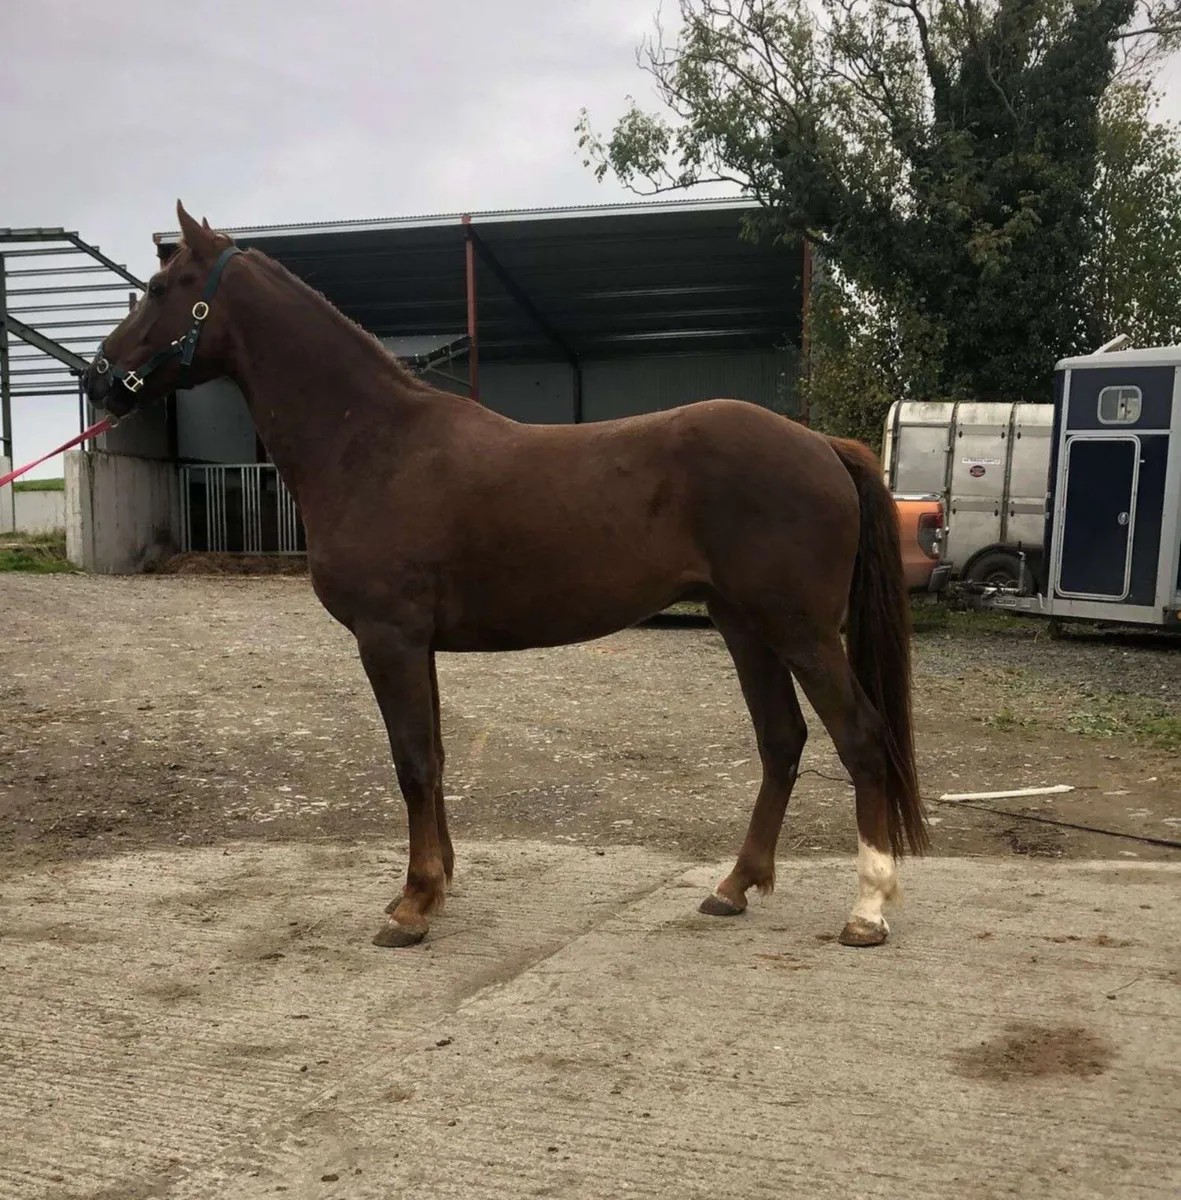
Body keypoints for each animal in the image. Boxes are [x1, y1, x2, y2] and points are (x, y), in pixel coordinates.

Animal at [85, 201, 928, 951]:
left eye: (158, 287)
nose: (98, 377)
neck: (373, 444)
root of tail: (819, 445)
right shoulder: (415, 644)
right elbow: (432, 758)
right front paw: (432, 886)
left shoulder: (388, 638)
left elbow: (412, 761)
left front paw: (413, 906)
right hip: (743, 625)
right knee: (781, 741)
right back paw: (733, 887)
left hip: (800, 630)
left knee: (860, 738)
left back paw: (866, 910)